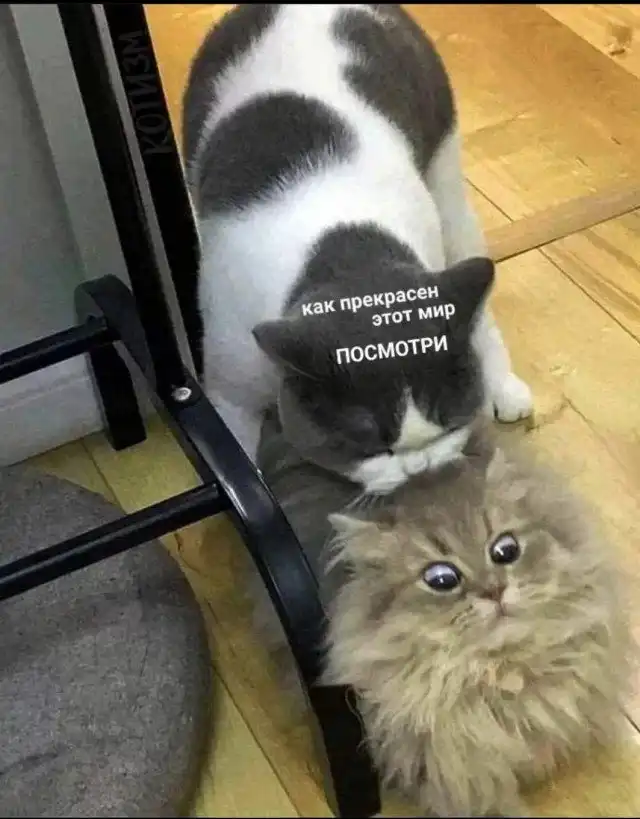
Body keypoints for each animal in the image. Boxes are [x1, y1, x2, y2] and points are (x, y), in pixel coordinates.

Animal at [183, 3, 533, 494]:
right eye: (370, 446)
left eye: (447, 425)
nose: (419, 466)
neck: (344, 251)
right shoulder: (230, 388)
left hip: (446, 183)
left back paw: (504, 384)